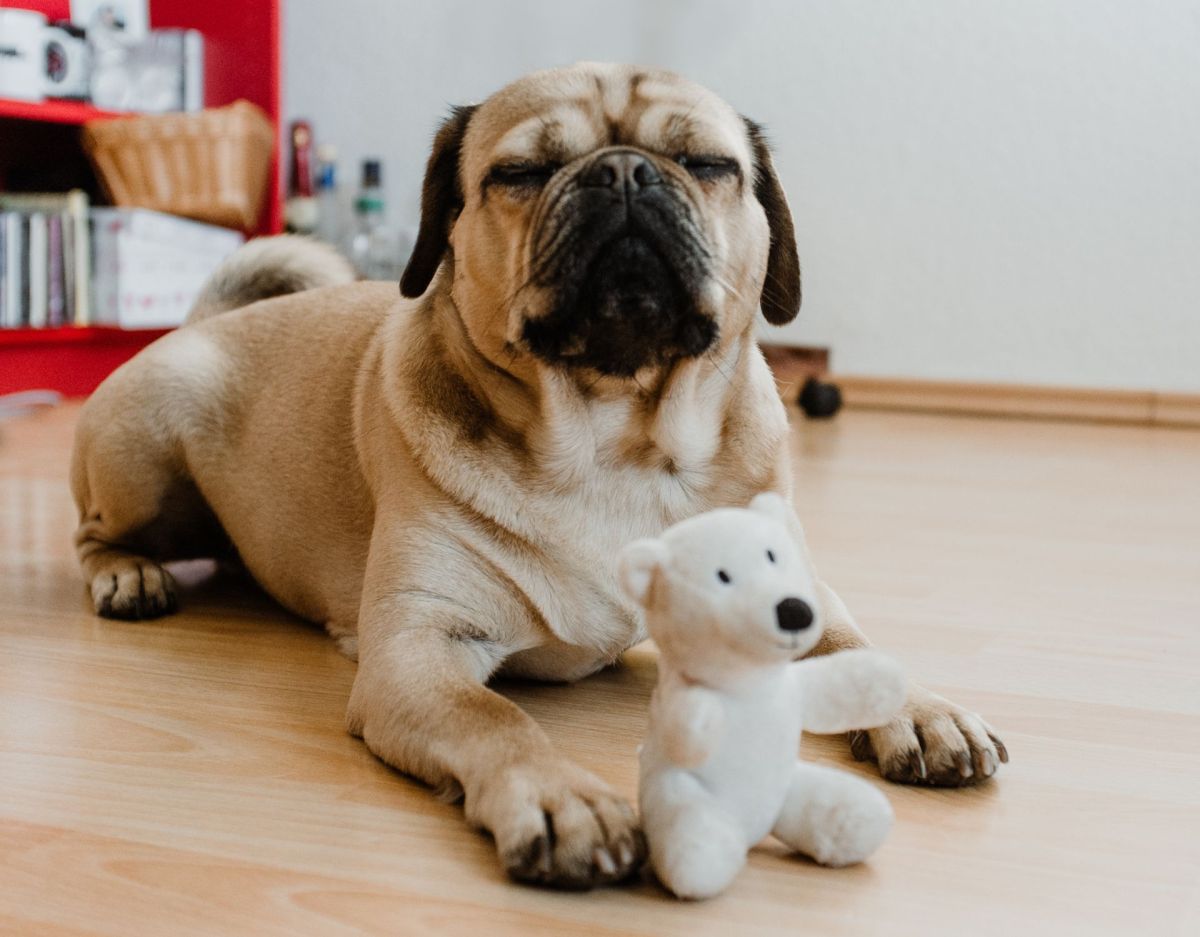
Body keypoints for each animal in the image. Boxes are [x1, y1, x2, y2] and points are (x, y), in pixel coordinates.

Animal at [68, 63, 1003, 883]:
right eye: (520, 173)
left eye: (708, 165)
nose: (624, 172)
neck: (617, 439)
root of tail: (197, 324)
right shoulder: (418, 648)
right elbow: (497, 720)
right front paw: (562, 799)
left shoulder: (796, 589)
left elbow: (853, 640)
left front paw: (921, 709)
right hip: (148, 446)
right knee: (91, 534)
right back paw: (128, 574)